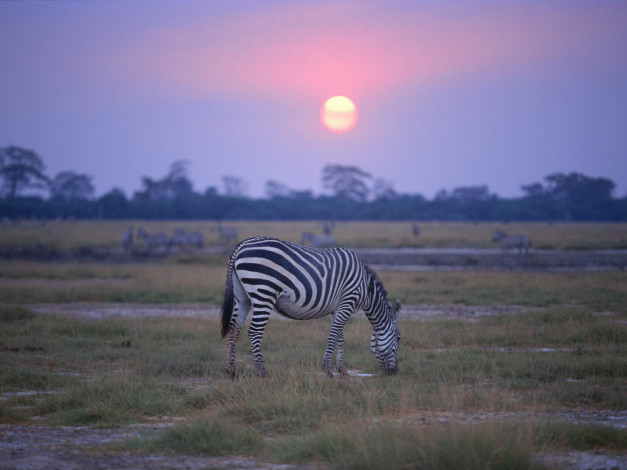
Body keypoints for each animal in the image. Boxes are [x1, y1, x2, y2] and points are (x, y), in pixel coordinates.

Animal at [220, 237, 402, 376]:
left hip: (242, 296)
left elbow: (340, 337)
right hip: (264, 292)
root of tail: (242, 245)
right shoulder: (347, 302)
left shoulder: (338, 308)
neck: (365, 288)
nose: (394, 372)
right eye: (399, 338)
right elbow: (333, 335)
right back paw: (263, 373)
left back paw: (231, 371)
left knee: (234, 329)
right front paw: (327, 370)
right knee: (254, 332)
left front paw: (341, 370)